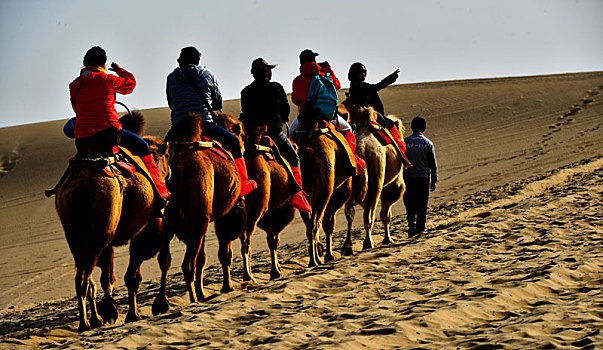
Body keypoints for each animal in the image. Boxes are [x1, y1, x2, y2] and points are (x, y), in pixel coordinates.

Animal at [55, 113, 171, 334]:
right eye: (168, 156)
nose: (167, 176)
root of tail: (81, 180)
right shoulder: (150, 227)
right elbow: (135, 274)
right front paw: (137, 313)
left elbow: (108, 277)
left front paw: (109, 309)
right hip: (99, 229)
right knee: (84, 277)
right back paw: (85, 324)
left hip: (77, 234)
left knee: (85, 276)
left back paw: (93, 320)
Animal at [164, 112, 247, 304]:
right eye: (242, 135)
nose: (244, 147)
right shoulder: (224, 214)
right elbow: (225, 252)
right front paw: (227, 287)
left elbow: (202, 258)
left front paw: (204, 292)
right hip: (198, 220)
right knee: (187, 264)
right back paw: (193, 299)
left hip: (169, 222)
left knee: (166, 262)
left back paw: (163, 304)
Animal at [215, 112, 298, 282]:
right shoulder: (262, 210)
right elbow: (269, 239)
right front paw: (274, 272)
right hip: (258, 211)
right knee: (249, 241)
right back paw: (250, 277)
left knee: (226, 249)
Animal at [292, 108, 356, 266]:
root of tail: (306, 149)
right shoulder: (341, 191)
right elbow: (329, 222)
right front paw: (329, 255)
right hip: (325, 187)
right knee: (316, 223)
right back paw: (315, 260)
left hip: (302, 191)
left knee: (309, 224)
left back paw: (313, 259)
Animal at [342, 102, 408, 250]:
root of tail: (361, 147)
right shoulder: (393, 185)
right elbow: (386, 214)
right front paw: (388, 239)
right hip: (376, 181)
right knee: (369, 215)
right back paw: (368, 242)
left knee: (350, 213)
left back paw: (347, 247)